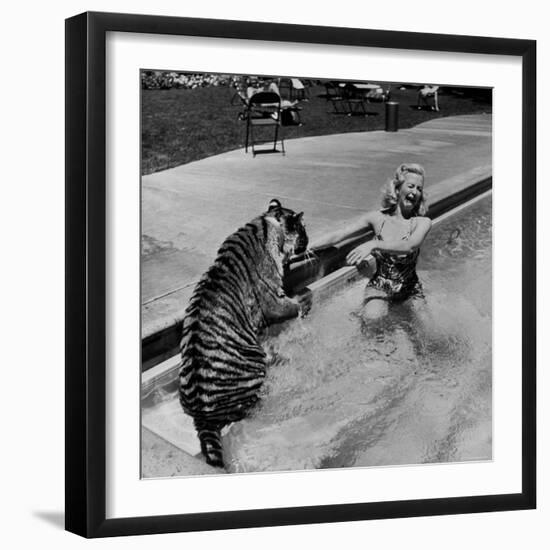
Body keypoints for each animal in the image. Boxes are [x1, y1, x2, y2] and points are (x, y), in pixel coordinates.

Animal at [181, 199, 310, 470]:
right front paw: (304, 301)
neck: (264, 224)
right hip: (254, 367)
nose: (308, 244)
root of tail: (202, 417)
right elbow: (293, 304)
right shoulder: (272, 300)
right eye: (303, 232)